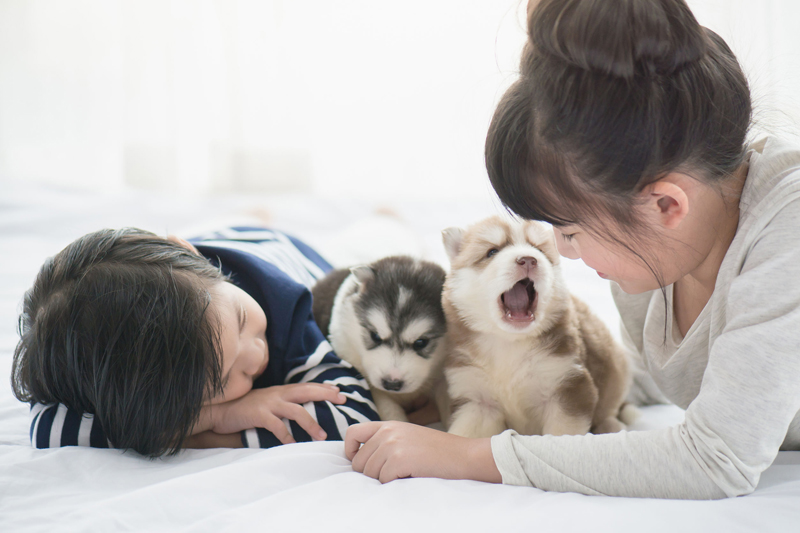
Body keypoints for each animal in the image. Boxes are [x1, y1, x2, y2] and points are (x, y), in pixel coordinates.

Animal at [440, 215, 628, 436]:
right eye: (492, 252)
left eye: (539, 250)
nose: (528, 259)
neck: (509, 343)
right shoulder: (477, 400)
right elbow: (465, 433)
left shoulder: (567, 384)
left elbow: (561, 433)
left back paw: (612, 426)